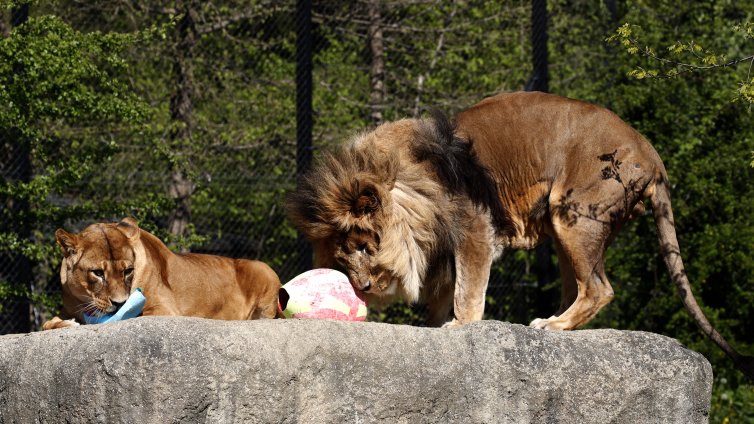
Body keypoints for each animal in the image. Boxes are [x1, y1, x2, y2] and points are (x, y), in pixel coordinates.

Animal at [41, 217, 282, 330]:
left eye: (128, 271)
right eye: (98, 273)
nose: (120, 303)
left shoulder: (164, 309)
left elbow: (132, 315)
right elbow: (45, 324)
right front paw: (63, 323)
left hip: (263, 269)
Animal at [286, 91, 752, 380]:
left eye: (366, 247)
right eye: (344, 258)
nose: (362, 286)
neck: (406, 180)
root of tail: (653, 156)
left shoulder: (474, 228)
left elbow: (467, 290)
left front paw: (460, 326)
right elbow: (444, 293)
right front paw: (435, 327)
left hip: (575, 213)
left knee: (599, 288)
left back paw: (554, 325)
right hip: (568, 226)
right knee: (579, 286)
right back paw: (552, 324)